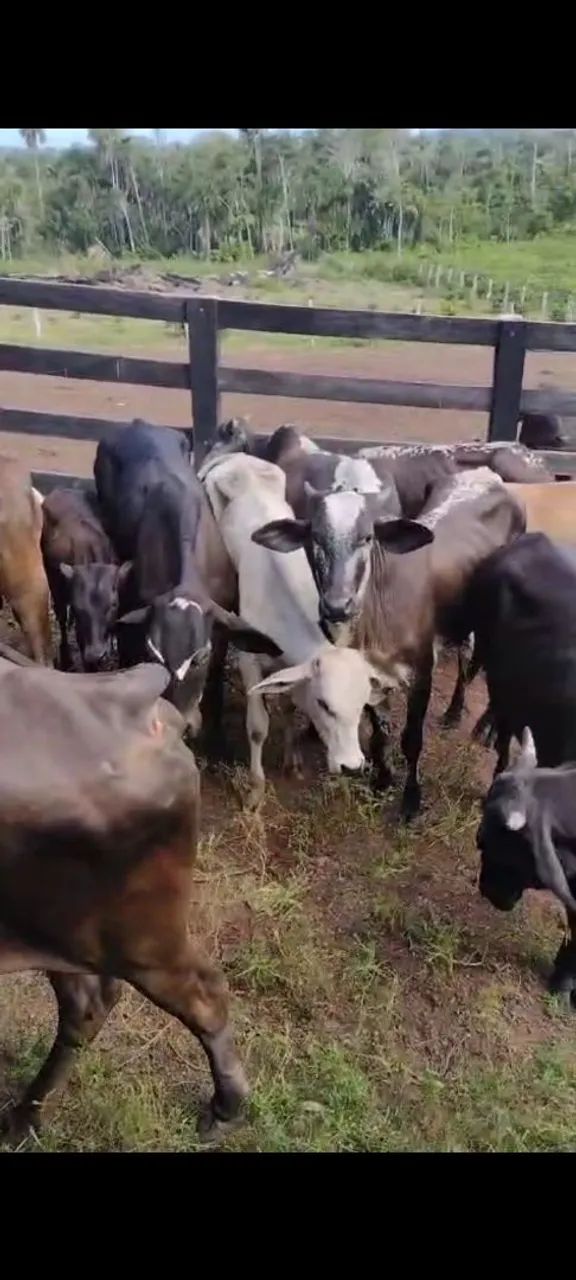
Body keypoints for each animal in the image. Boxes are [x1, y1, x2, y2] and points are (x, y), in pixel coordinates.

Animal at [0, 654, 248, 1144]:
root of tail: (128, 691)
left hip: (142, 937)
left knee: (205, 995)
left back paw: (225, 1110)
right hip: (65, 929)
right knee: (86, 1006)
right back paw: (24, 1120)